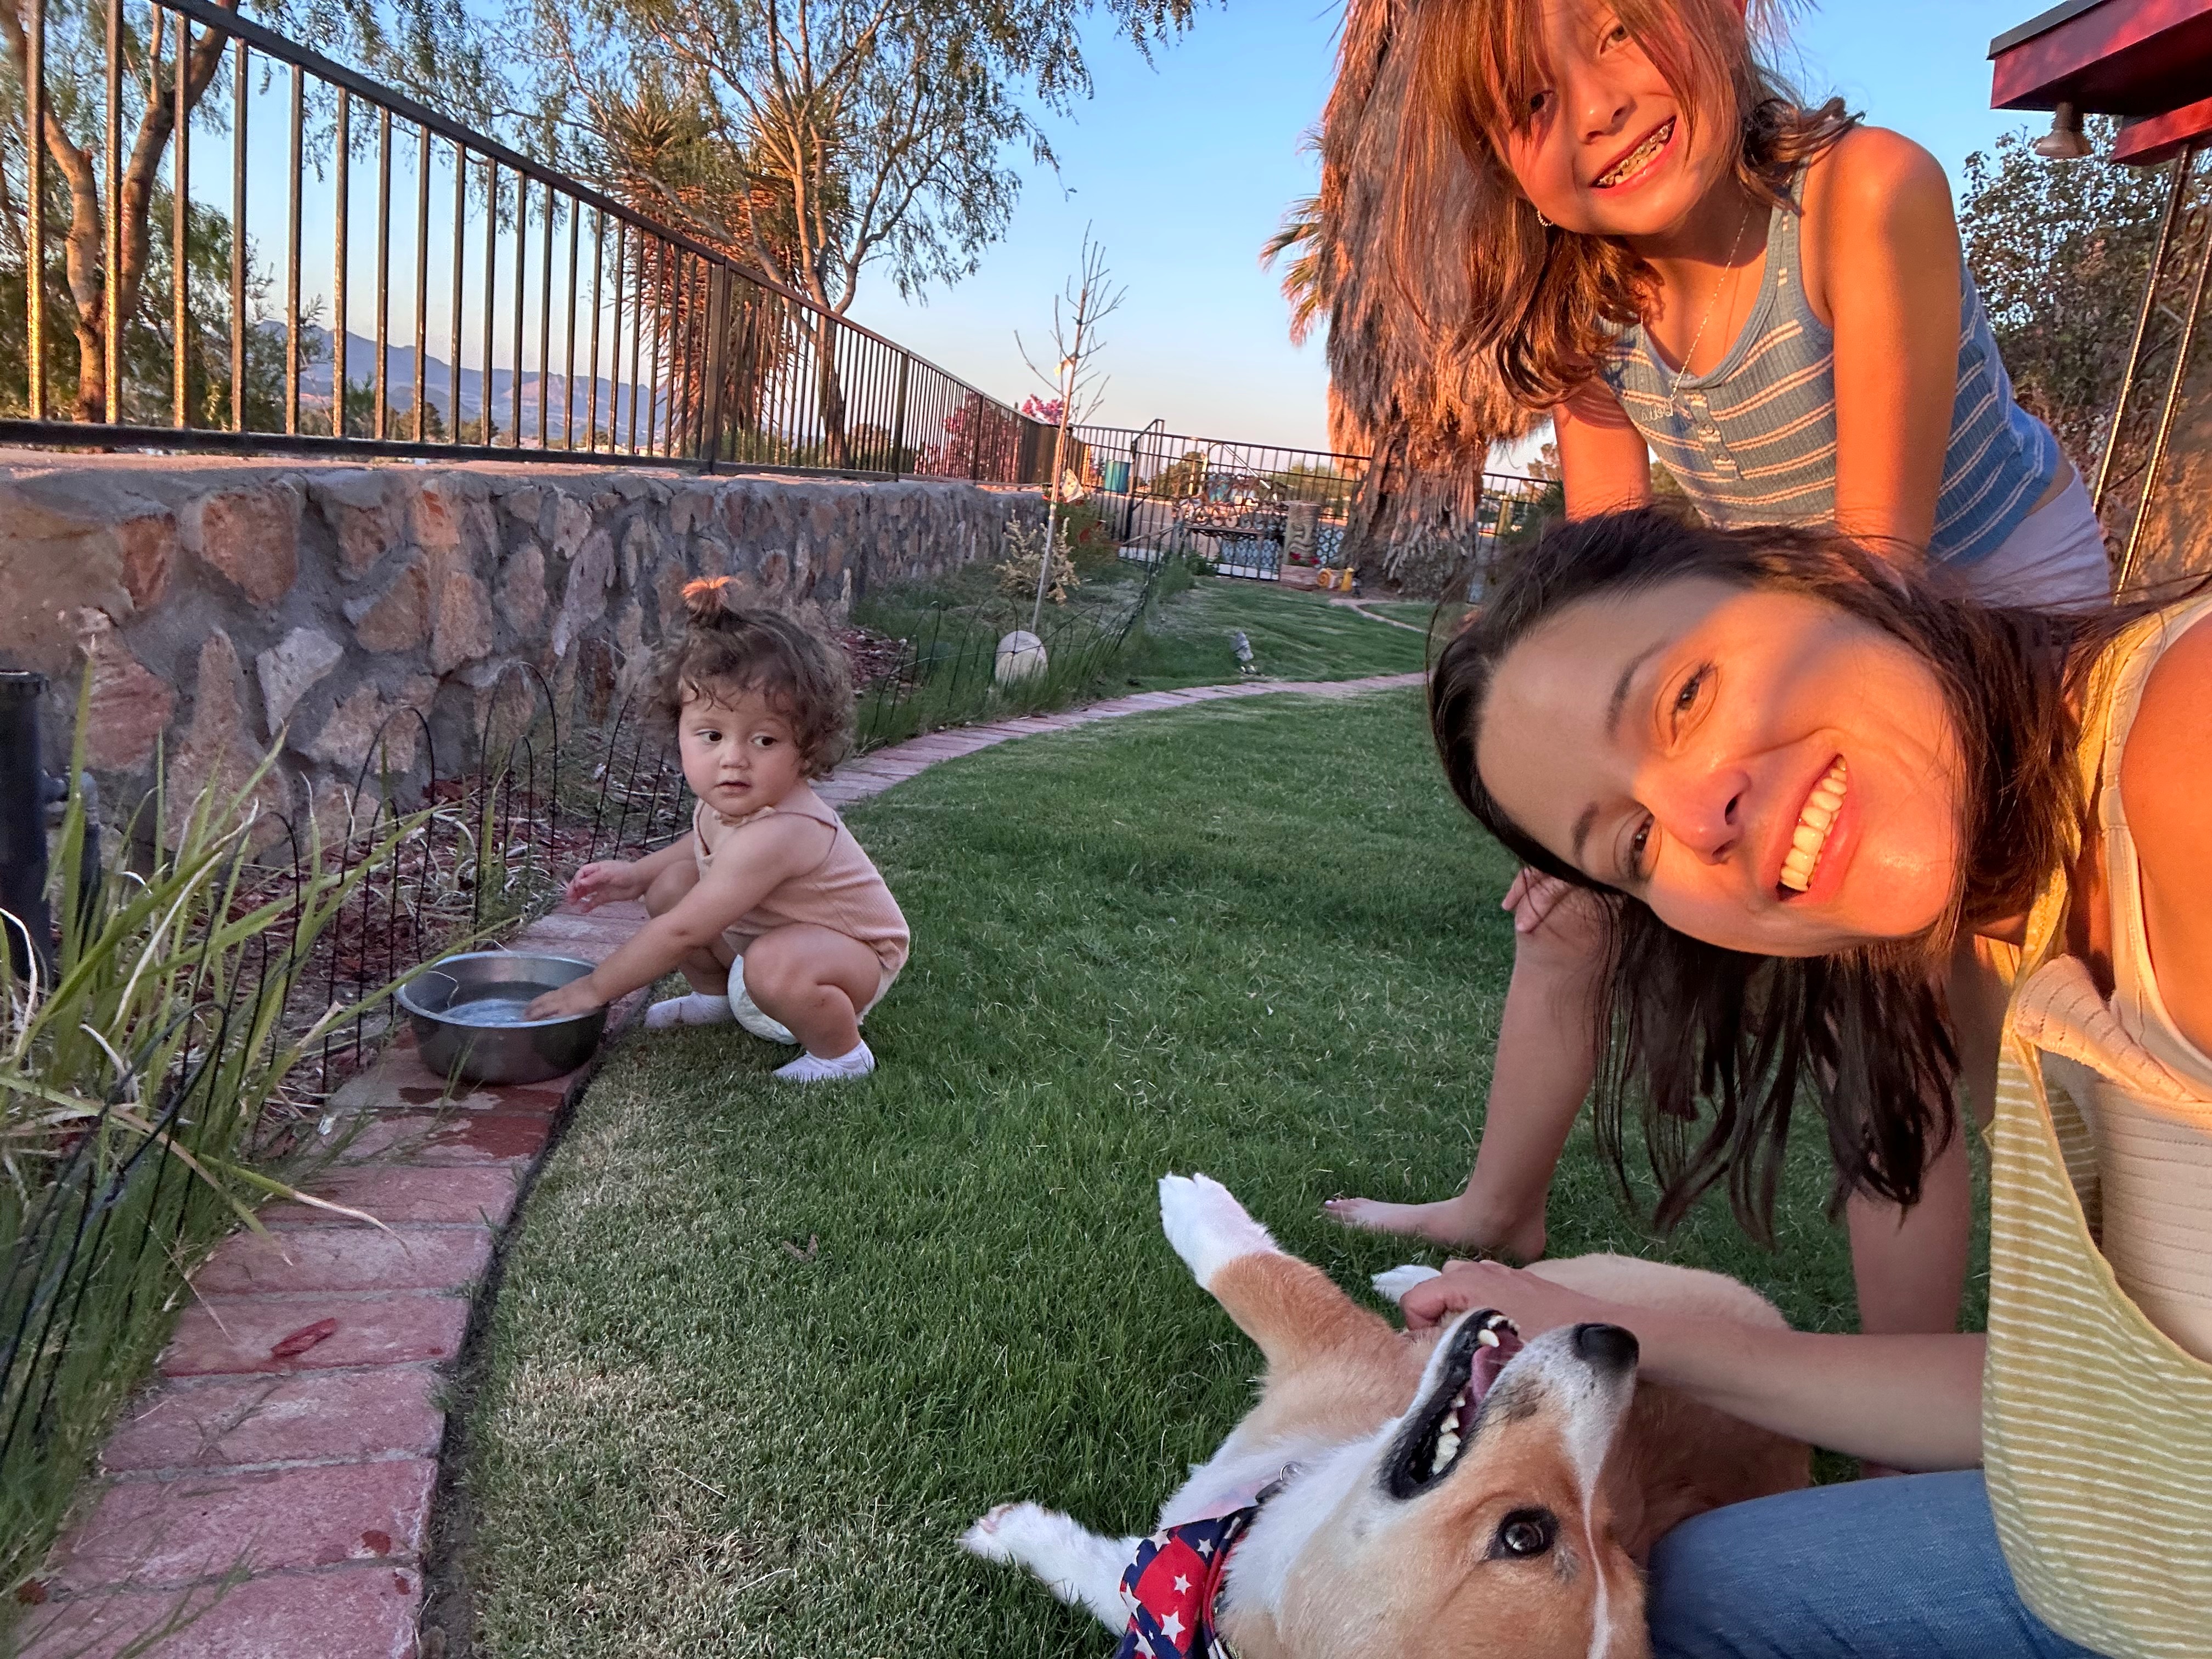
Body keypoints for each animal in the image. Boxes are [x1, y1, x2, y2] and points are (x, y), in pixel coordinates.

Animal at [962, 1174, 1808, 1659]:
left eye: (1524, 1536)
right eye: (1615, 1544)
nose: (1616, 1344)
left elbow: (1262, 1275)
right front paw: (1015, 1536)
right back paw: (1422, 1277)